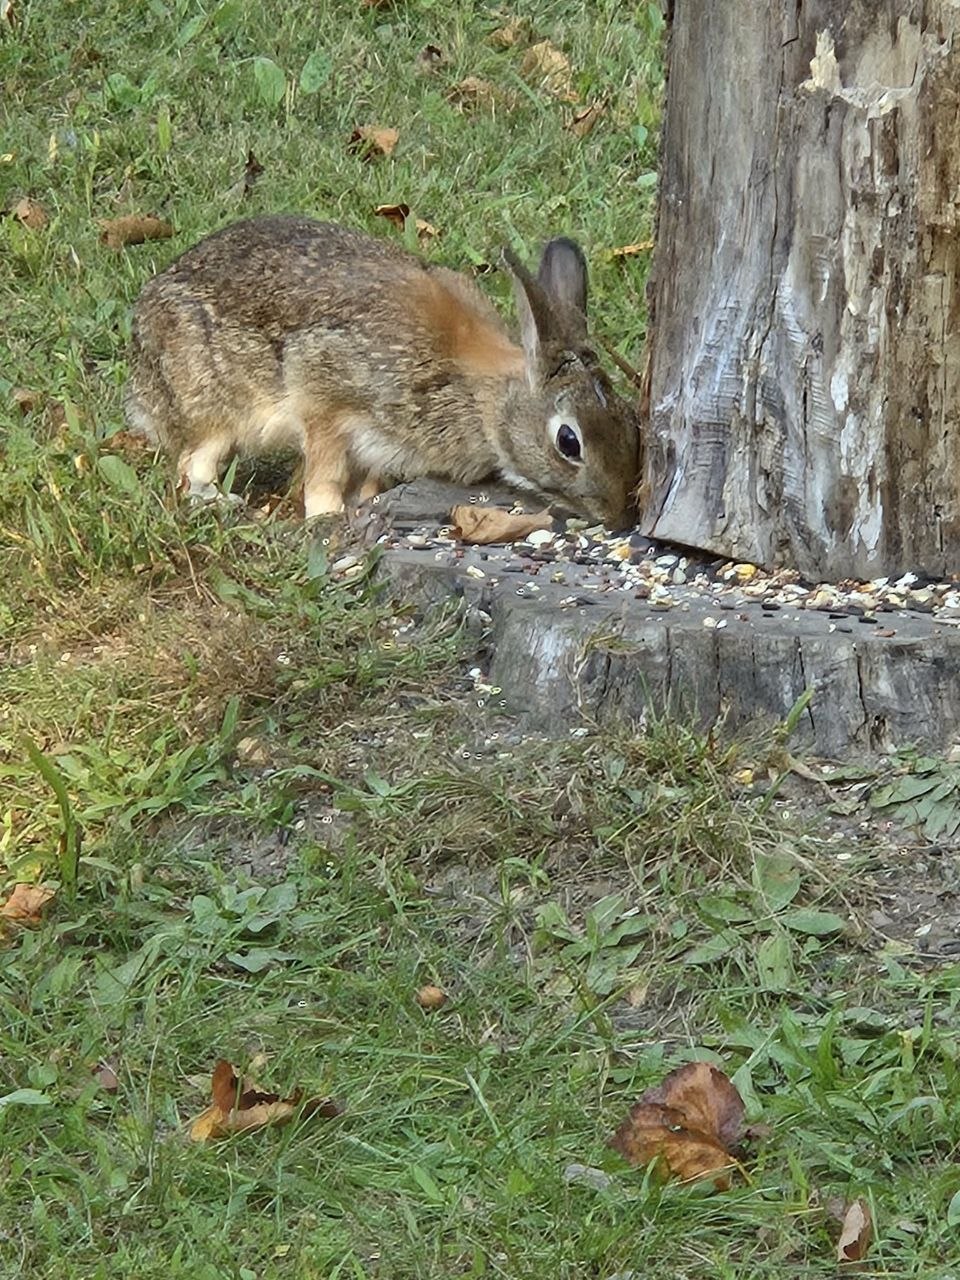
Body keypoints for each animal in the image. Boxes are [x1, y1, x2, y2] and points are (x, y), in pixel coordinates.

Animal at [125, 215, 640, 527]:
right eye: (569, 442)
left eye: (633, 424)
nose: (617, 516)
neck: (482, 400)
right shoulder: (326, 396)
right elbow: (325, 471)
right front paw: (327, 516)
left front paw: (364, 504)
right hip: (218, 405)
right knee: (194, 462)